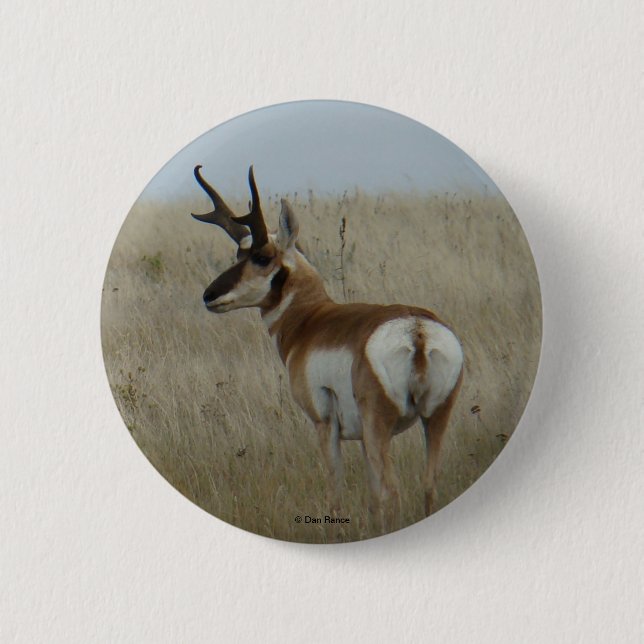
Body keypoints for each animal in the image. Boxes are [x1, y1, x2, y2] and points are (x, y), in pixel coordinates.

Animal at [191, 165, 463, 533]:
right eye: (238, 254)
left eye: (261, 256)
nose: (210, 295)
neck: (312, 320)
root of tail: (416, 330)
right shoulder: (362, 438)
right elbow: (372, 499)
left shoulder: (325, 424)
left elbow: (335, 492)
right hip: (433, 420)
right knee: (427, 486)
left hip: (380, 427)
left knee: (392, 491)